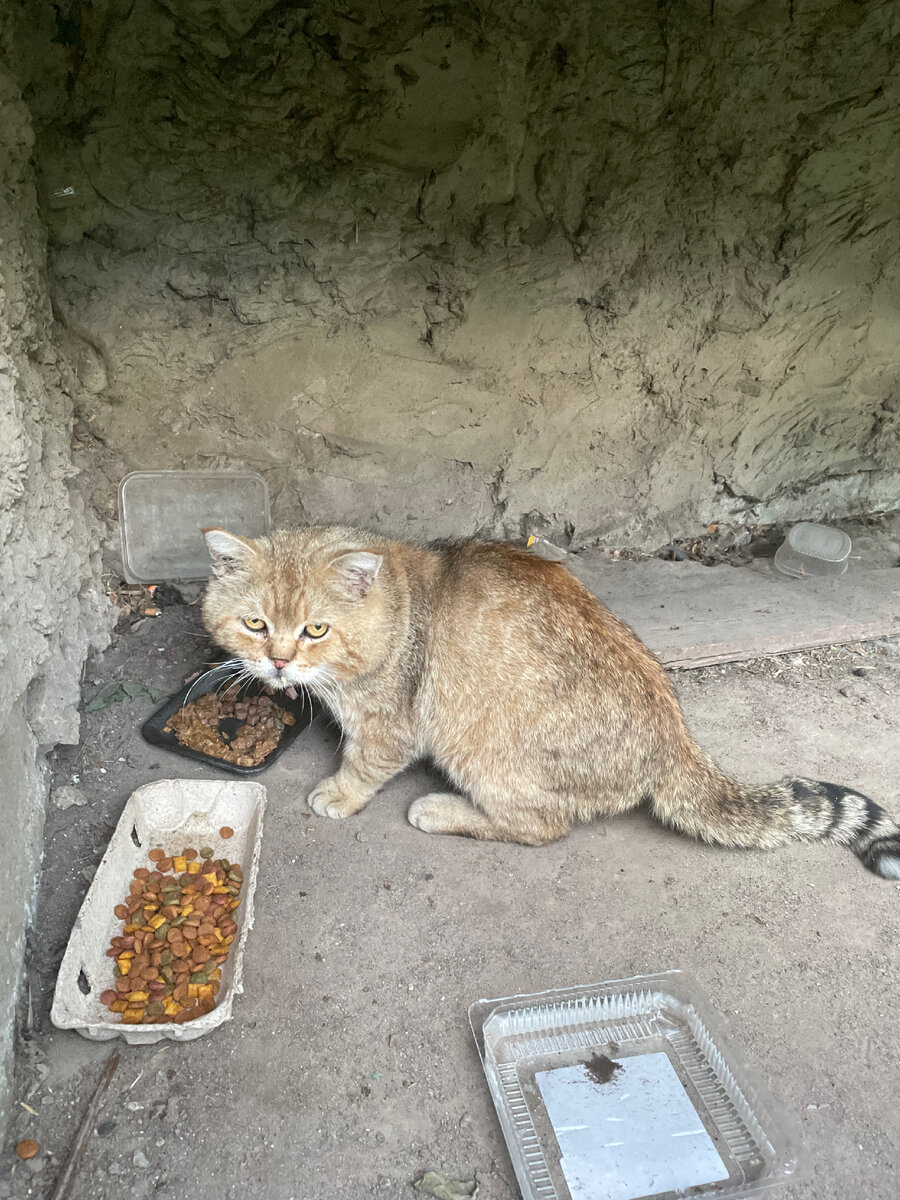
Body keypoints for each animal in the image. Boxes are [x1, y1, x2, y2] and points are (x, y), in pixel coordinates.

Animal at [204, 520, 900, 878]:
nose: (278, 661)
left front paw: (340, 793)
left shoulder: (392, 726)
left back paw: (442, 809)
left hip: (476, 745)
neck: (394, 607)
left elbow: (362, 762)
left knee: (540, 826)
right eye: (256, 623)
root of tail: (676, 738)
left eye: (315, 629)